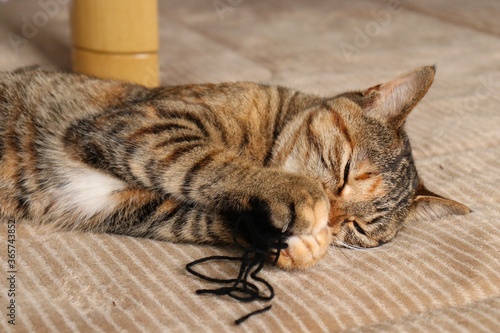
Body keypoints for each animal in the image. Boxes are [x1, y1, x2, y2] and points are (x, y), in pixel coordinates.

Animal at [0, 66, 468, 268]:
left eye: (359, 229)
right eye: (346, 171)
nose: (332, 220)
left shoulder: (140, 207)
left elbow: (209, 216)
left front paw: (300, 246)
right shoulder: (142, 125)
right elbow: (209, 163)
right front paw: (297, 192)